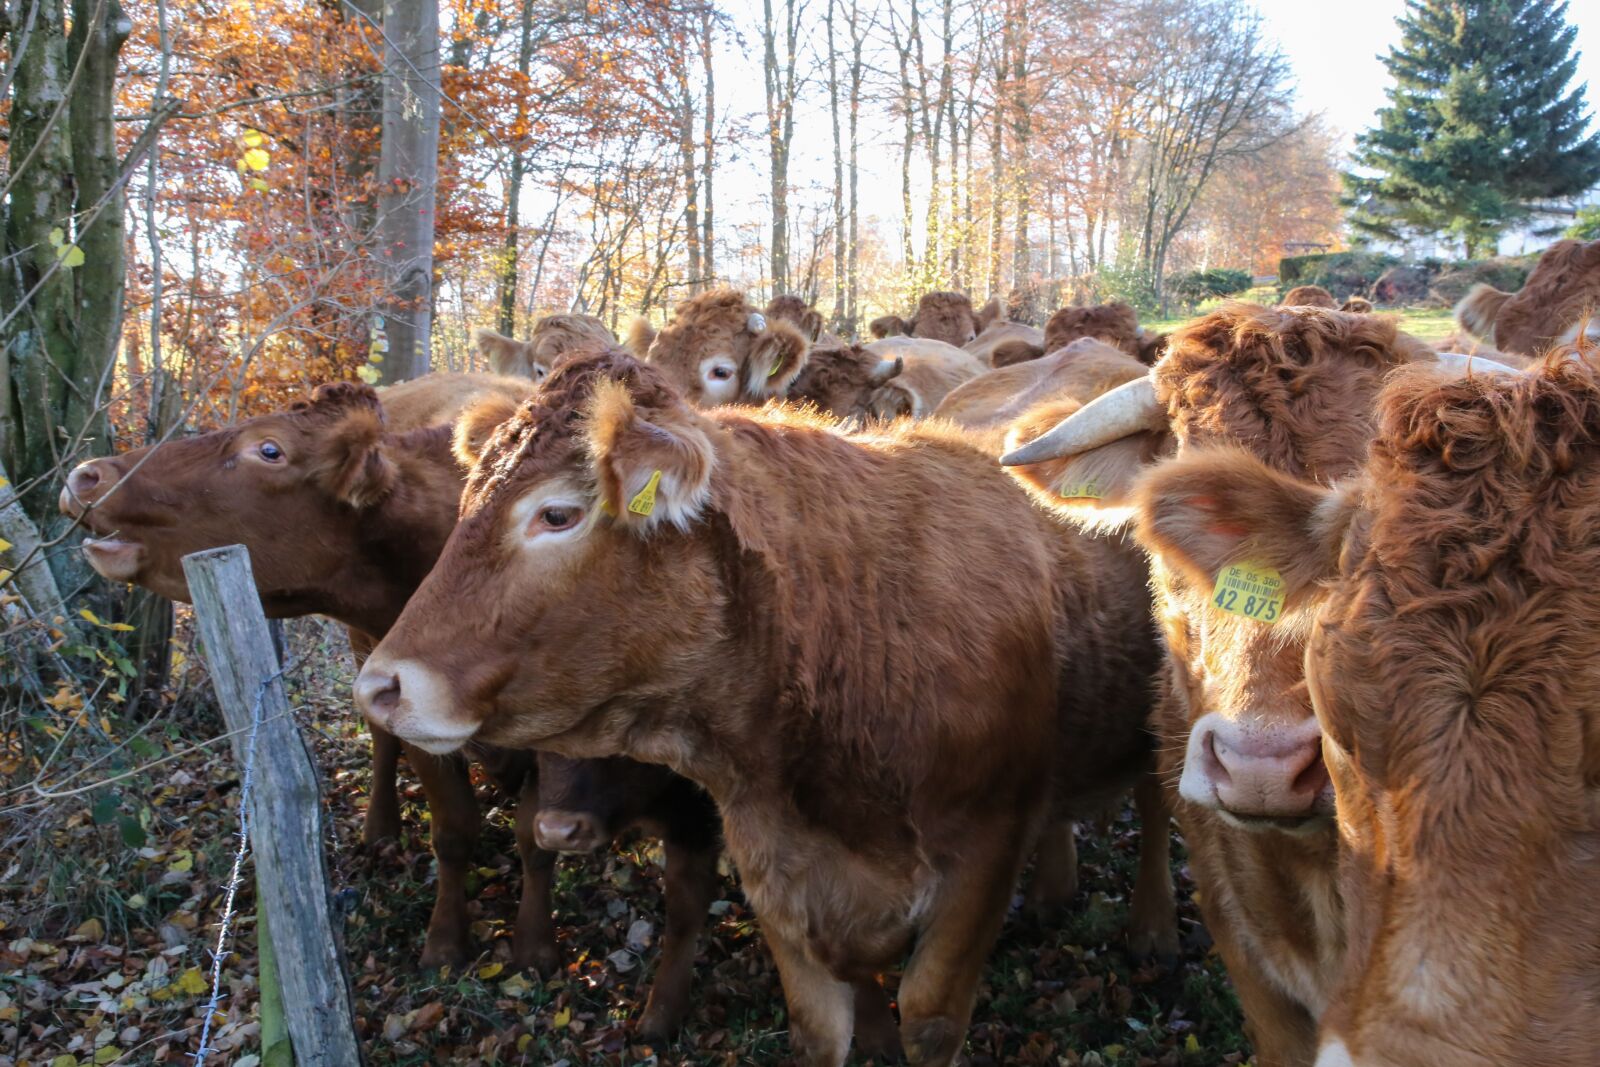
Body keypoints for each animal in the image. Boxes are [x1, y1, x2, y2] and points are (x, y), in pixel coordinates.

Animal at [56, 376, 720, 1037]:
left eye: (268, 450)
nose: (87, 474)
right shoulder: (405, 699)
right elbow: (452, 828)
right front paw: (446, 942)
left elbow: (534, 837)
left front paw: (533, 947)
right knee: (381, 747)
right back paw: (381, 826)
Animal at [353, 347, 1169, 1067]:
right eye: (463, 507)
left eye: (556, 514)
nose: (377, 686)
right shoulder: (773, 864)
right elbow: (818, 1029)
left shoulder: (983, 859)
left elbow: (931, 1020)